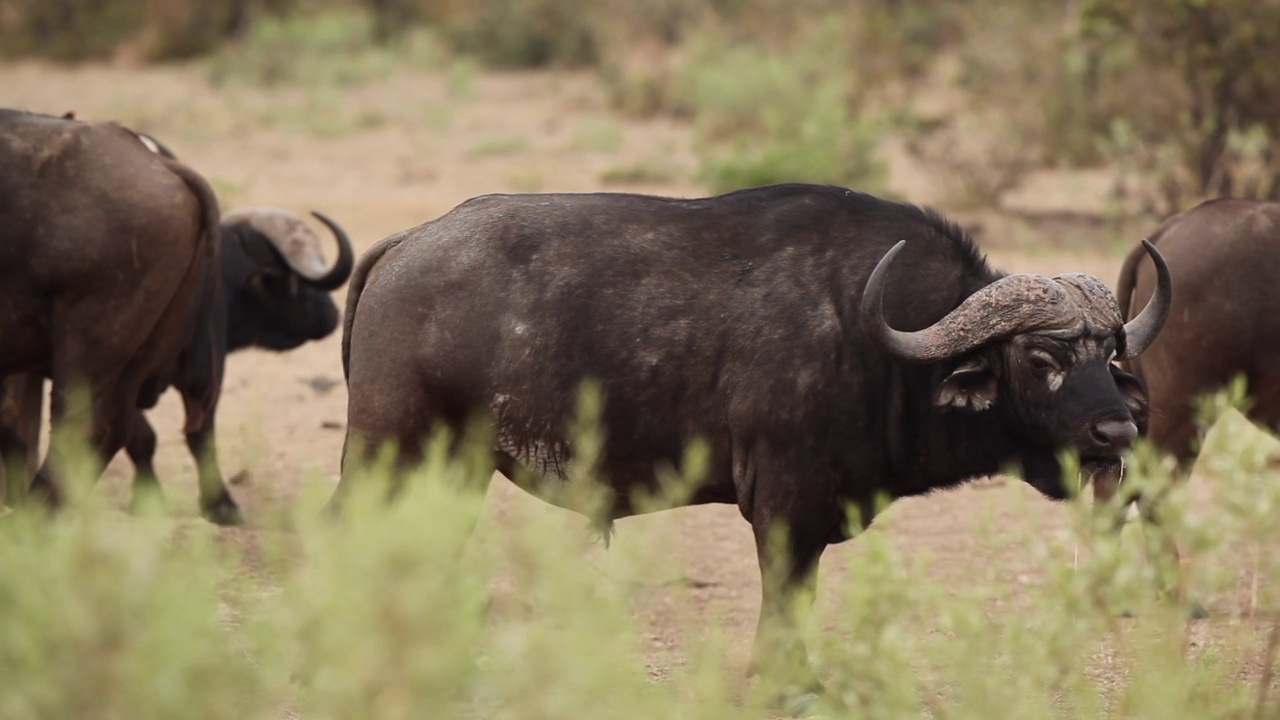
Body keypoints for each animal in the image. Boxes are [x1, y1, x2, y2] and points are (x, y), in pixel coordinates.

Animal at [0, 109, 220, 507]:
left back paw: (33, 512)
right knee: (115, 429)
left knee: (78, 428)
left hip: (87, 343)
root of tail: (157, 161)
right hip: (135, 354)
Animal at [332, 181, 1172, 686]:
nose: (1118, 428)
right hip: (385, 451)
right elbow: (783, 604)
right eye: (1042, 357)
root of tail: (409, 243)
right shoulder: (785, 511)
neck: (876, 340)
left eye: (1110, 353)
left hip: (456, 467)